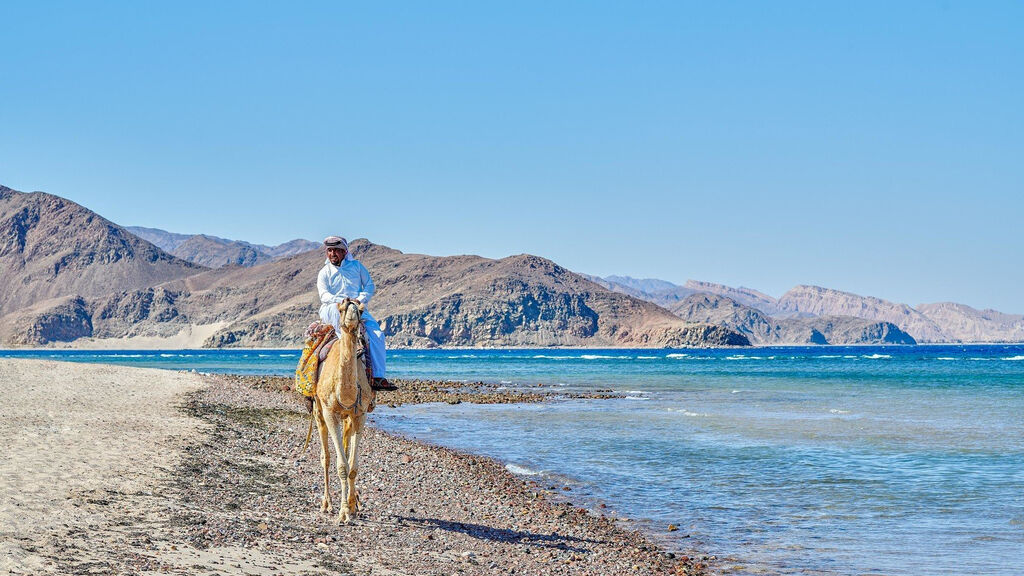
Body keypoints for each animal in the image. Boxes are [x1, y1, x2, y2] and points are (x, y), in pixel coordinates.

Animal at [313, 297, 378, 522]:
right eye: (341, 307)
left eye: (361, 310)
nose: (352, 316)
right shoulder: (329, 413)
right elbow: (341, 465)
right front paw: (343, 512)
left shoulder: (360, 414)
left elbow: (353, 466)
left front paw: (352, 506)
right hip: (318, 412)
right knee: (325, 457)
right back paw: (326, 504)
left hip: (348, 418)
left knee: (345, 445)